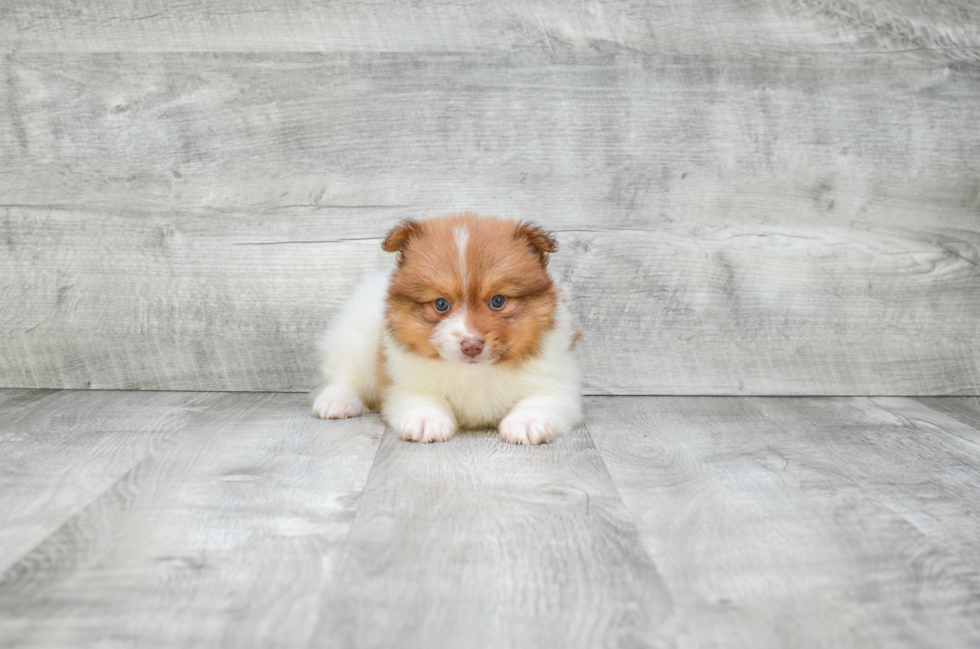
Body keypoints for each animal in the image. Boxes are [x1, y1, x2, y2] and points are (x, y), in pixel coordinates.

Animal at [312, 213, 580, 446]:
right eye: (441, 304)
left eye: (498, 301)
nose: (471, 346)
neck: (474, 373)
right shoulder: (406, 382)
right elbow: (424, 398)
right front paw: (426, 420)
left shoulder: (556, 381)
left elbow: (540, 400)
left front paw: (526, 423)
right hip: (356, 341)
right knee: (345, 376)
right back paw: (336, 402)